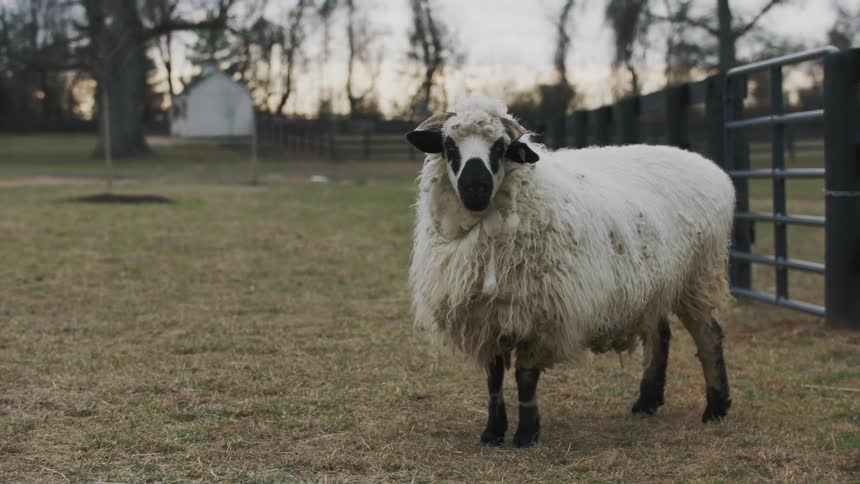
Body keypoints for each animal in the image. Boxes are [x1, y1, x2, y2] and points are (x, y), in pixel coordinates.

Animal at [405, 96, 735, 448]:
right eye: (449, 146)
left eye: (501, 147)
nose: (475, 187)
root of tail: (712, 169)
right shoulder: (486, 317)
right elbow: (493, 377)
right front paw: (493, 432)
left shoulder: (540, 315)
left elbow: (525, 376)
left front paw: (526, 434)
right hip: (654, 286)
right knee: (660, 334)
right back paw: (647, 401)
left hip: (699, 276)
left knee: (709, 335)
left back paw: (715, 408)